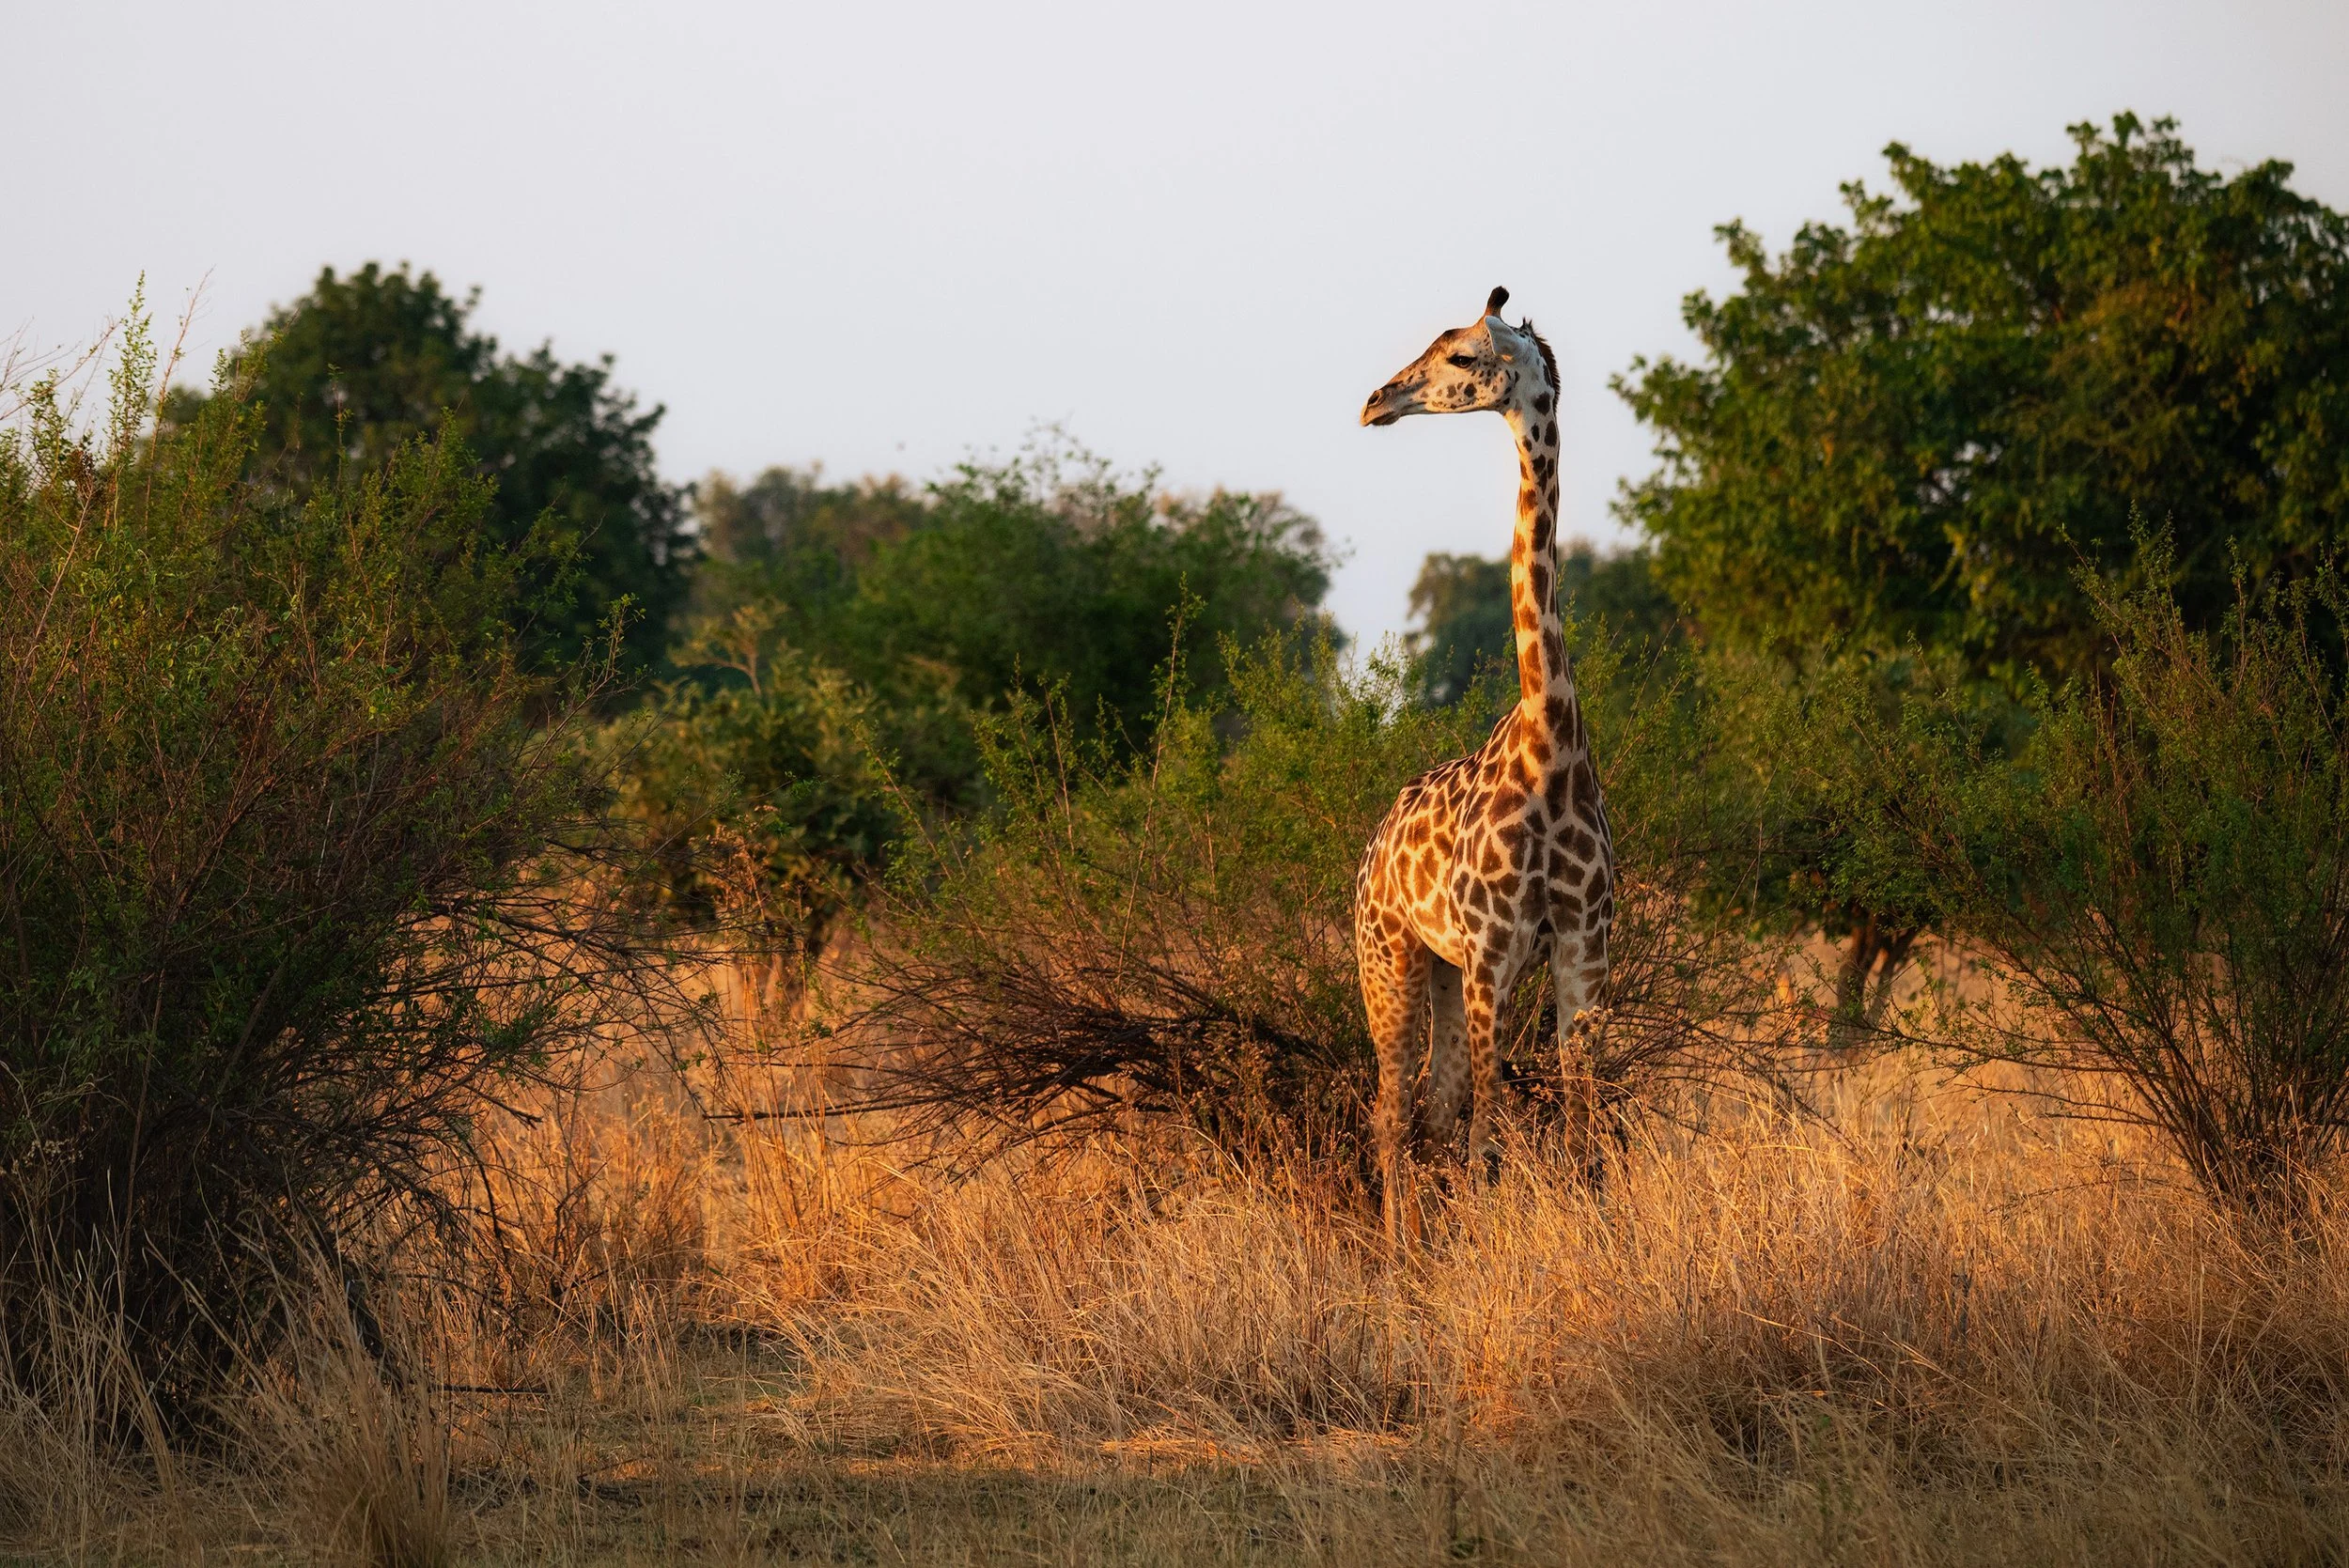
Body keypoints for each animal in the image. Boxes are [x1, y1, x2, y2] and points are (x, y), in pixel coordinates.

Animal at [1355, 287, 1614, 1246]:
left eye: (1462, 357)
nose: (1377, 401)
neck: (1552, 744)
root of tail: (1371, 851)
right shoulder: (1493, 952)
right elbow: (1492, 1132)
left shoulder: (1583, 951)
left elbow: (1577, 1128)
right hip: (1388, 959)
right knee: (1393, 1111)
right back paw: (1399, 1251)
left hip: (1436, 969)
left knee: (1432, 1107)